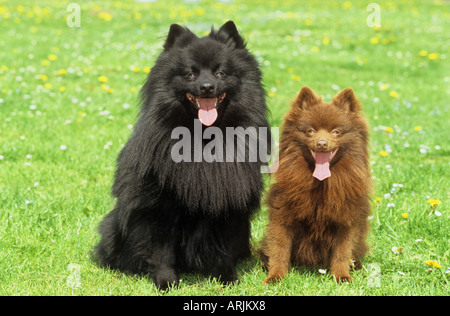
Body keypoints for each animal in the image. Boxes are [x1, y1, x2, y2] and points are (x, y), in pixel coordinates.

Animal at [92, 21, 268, 290]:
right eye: (190, 74)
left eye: (220, 73)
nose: (207, 87)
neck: (203, 138)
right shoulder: (159, 206)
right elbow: (162, 250)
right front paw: (166, 282)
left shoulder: (227, 199)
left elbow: (224, 246)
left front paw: (226, 278)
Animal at [258, 86, 370, 284]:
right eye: (310, 131)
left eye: (336, 132)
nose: (322, 143)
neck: (320, 184)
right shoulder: (282, 215)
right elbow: (279, 249)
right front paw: (275, 277)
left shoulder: (346, 218)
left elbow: (342, 252)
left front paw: (341, 276)